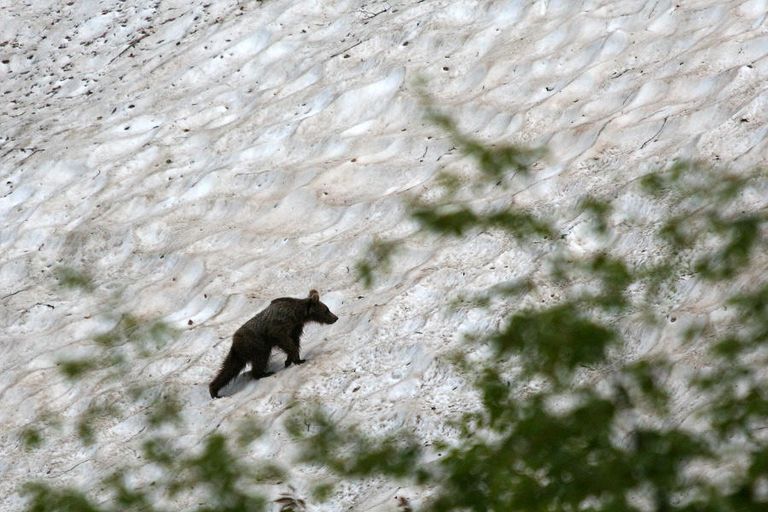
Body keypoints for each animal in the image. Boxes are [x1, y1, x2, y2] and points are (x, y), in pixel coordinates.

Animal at [209, 289, 338, 398]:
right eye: (327, 309)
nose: (335, 317)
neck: (298, 314)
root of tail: (235, 340)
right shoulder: (279, 327)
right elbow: (287, 342)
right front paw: (297, 359)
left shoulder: (295, 327)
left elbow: (294, 341)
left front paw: (291, 360)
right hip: (257, 344)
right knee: (260, 359)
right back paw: (264, 373)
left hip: (241, 352)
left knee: (230, 368)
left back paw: (214, 390)